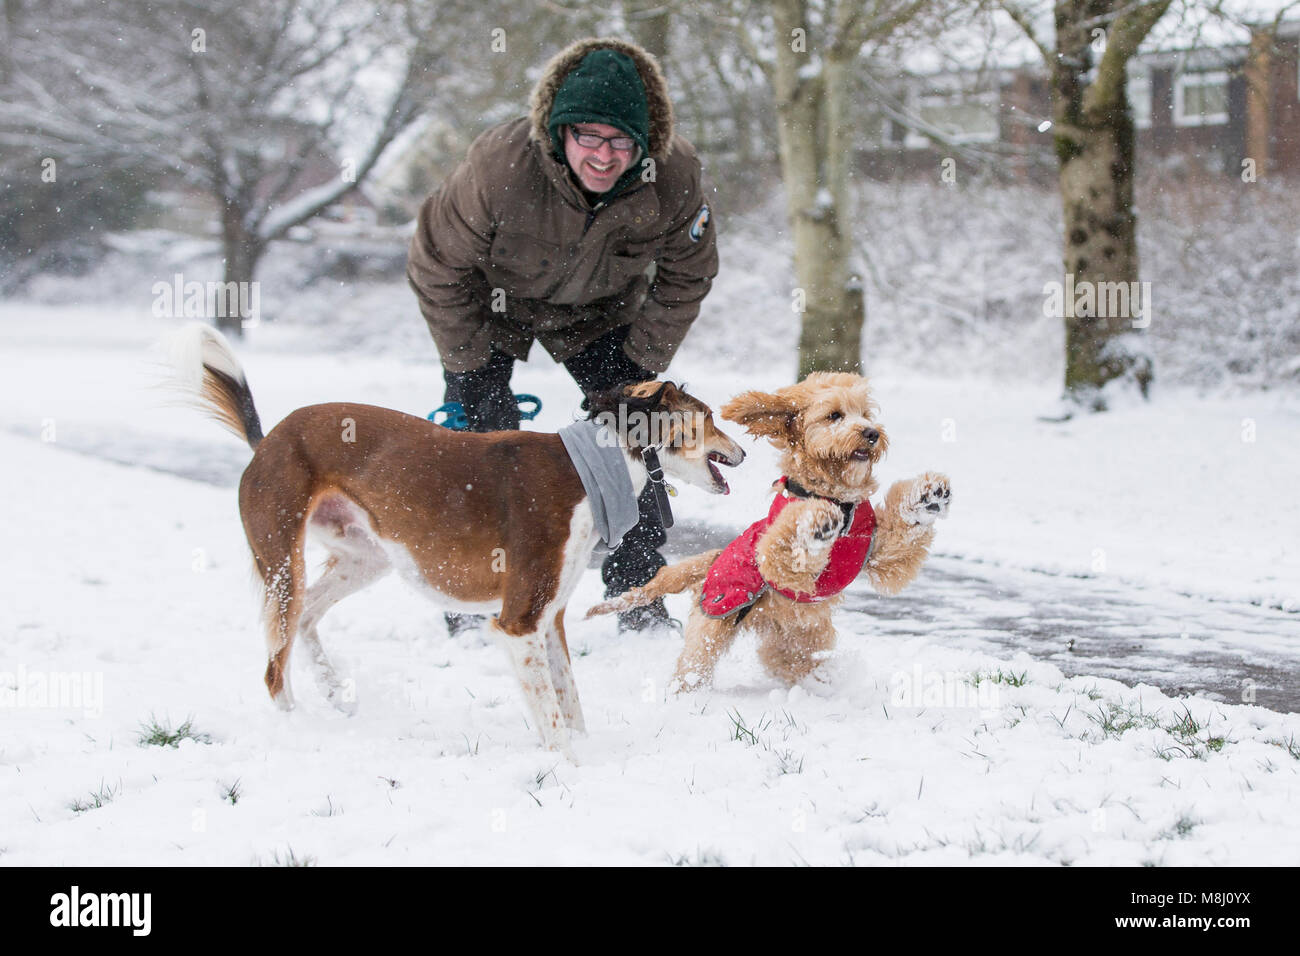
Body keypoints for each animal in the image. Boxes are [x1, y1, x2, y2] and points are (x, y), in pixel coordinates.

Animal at [169, 325, 748, 759]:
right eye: (708, 418)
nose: (742, 453)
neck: (592, 469)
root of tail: (266, 439)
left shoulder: (551, 618)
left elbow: (570, 703)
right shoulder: (519, 621)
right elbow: (553, 720)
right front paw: (569, 770)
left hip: (366, 557)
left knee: (307, 618)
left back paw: (335, 693)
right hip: (283, 562)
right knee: (274, 663)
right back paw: (295, 726)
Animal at [595, 374, 951, 697]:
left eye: (865, 413)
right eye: (835, 415)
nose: (872, 433)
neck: (837, 497)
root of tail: (712, 558)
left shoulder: (874, 551)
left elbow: (899, 540)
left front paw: (927, 496)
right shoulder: (777, 561)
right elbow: (787, 546)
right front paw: (816, 523)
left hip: (796, 633)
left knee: (785, 660)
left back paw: (819, 682)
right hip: (714, 624)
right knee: (694, 663)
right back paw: (686, 695)